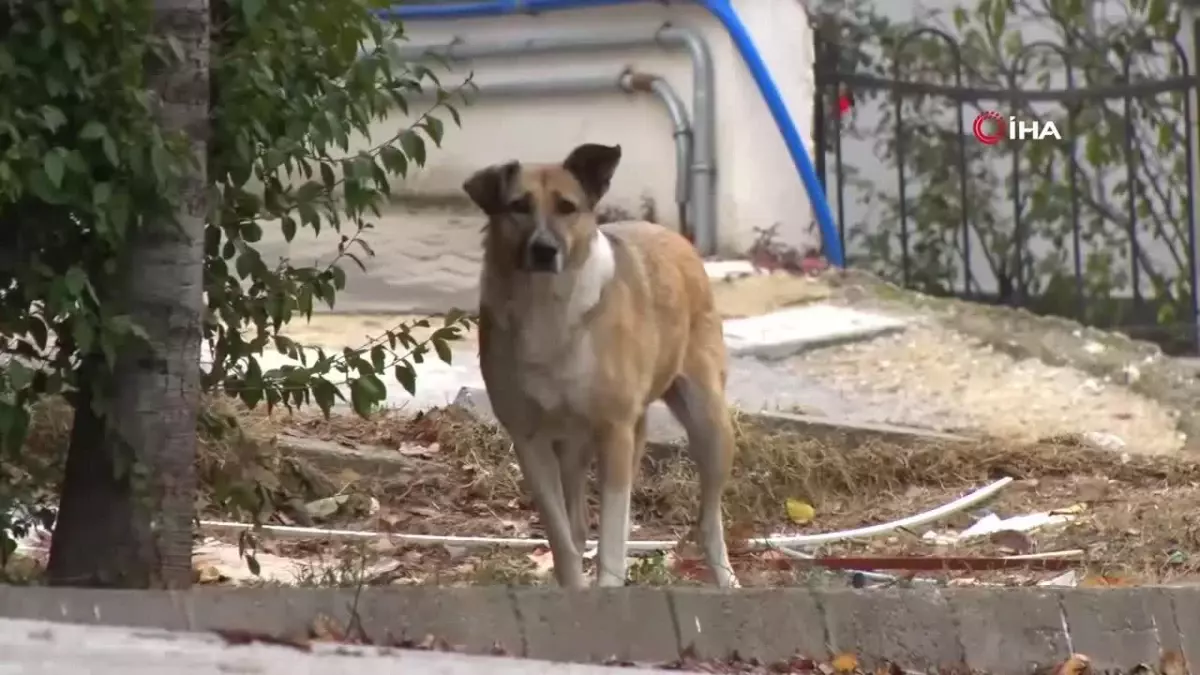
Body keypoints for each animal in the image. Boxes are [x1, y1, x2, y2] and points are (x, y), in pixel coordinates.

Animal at [460, 142, 734, 588]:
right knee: (577, 523)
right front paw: (575, 585)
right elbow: (561, 537)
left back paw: (726, 578)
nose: (544, 250)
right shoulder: (529, 441)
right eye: (518, 206)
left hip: (709, 426)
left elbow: (612, 534)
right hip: (575, 448)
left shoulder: (615, 433)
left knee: (708, 520)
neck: (547, 307)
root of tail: (674, 235)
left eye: (567, 207)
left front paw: (607, 585)